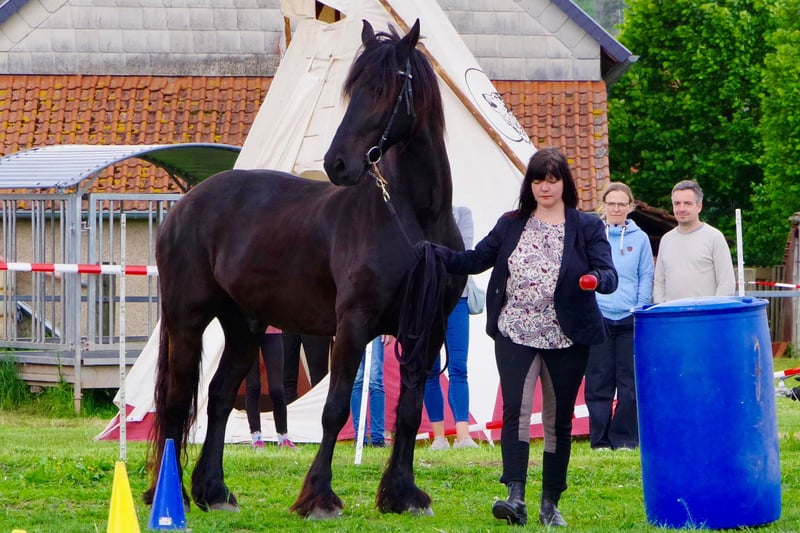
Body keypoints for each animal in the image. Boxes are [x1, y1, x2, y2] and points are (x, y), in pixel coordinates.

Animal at [145, 19, 465, 519]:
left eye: (387, 88)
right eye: (353, 88)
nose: (338, 164)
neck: (415, 218)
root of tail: (184, 204)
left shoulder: (427, 329)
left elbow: (411, 410)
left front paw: (403, 494)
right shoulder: (352, 325)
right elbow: (334, 410)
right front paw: (319, 497)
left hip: (244, 328)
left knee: (219, 397)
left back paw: (214, 491)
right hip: (187, 318)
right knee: (178, 401)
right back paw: (171, 495)